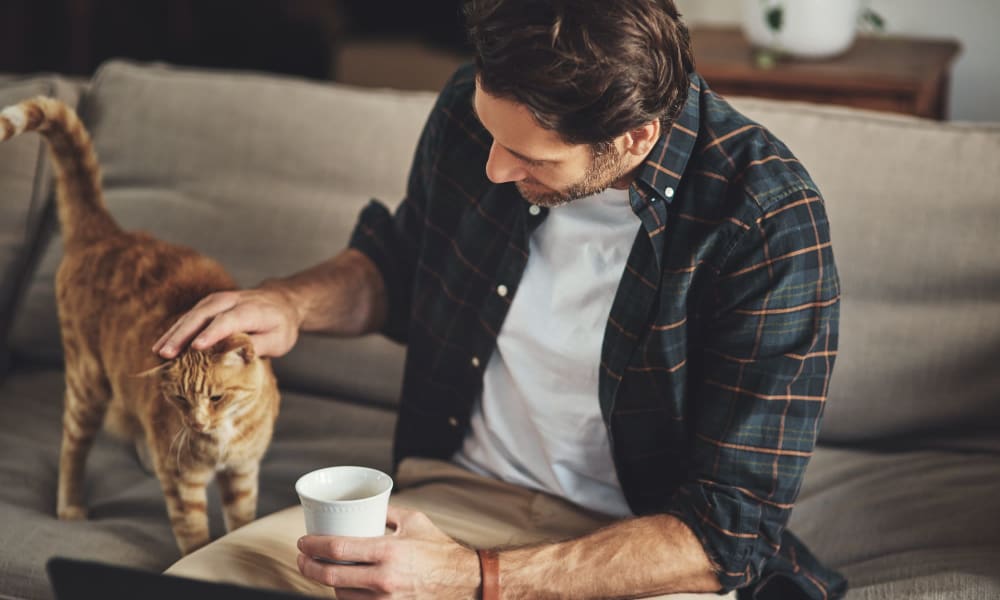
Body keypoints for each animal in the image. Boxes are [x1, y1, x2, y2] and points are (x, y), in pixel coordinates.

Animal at [1, 97, 282, 552]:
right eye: (181, 400)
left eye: (216, 398)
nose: (196, 423)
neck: (220, 442)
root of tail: (108, 234)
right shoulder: (183, 483)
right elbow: (196, 538)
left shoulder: (242, 473)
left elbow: (242, 524)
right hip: (87, 384)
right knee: (72, 448)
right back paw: (70, 505)